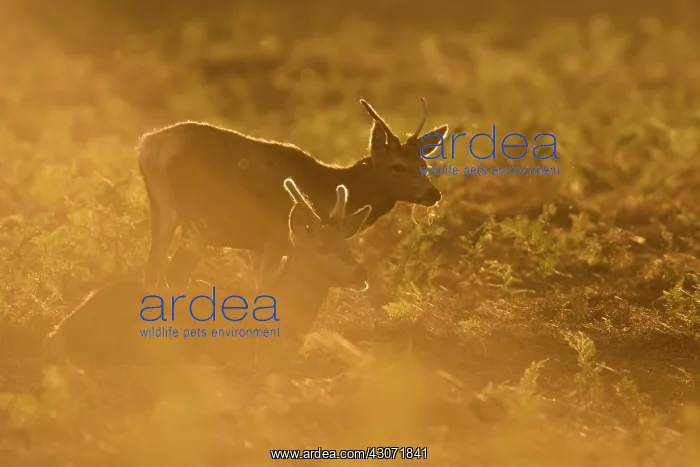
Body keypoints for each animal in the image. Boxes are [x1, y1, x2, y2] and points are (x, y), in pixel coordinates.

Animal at [138, 98, 449, 290]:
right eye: (398, 166)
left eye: (423, 164)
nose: (433, 193)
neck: (327, 185)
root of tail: (153, 146)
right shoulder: (276, 236)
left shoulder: (257, 245)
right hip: (201, 220)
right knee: (174, 274)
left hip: (162, 212)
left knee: (152, 271)